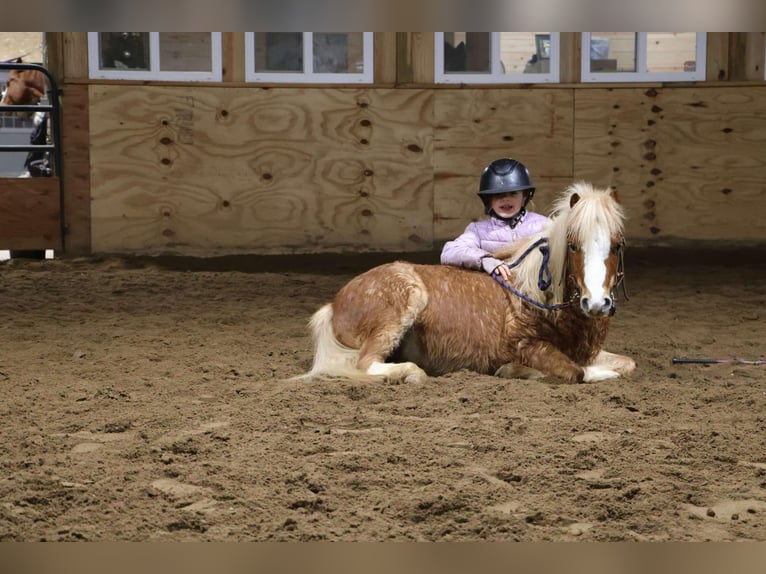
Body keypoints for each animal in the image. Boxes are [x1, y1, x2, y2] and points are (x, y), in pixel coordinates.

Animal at [297, 182, 636, 384]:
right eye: (574, 246)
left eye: (617, 245)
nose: (596, 303)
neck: (537, 297)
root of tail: (334, 304)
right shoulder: (529, 346)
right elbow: (575, 371)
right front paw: (515, 370)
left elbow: (627, 363)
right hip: (404, 303)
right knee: (364, 364)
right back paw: (412, 373)